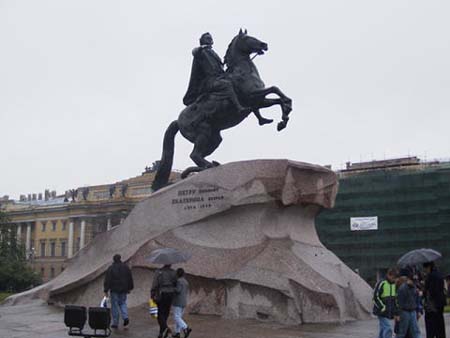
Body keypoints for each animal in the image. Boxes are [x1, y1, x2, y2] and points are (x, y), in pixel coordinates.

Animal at [151, 30, 292, 191]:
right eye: (248, 38)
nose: (264, 44)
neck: (242, 71)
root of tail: (178, 121)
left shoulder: (259, 101)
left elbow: (277, 98)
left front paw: (283, 119)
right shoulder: (253, 96)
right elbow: (275, 89)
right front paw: (285, 112)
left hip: (214, 139)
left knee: (199, 156)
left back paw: (209, 166)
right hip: (203, 131)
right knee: (195, 155)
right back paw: (207, 167)